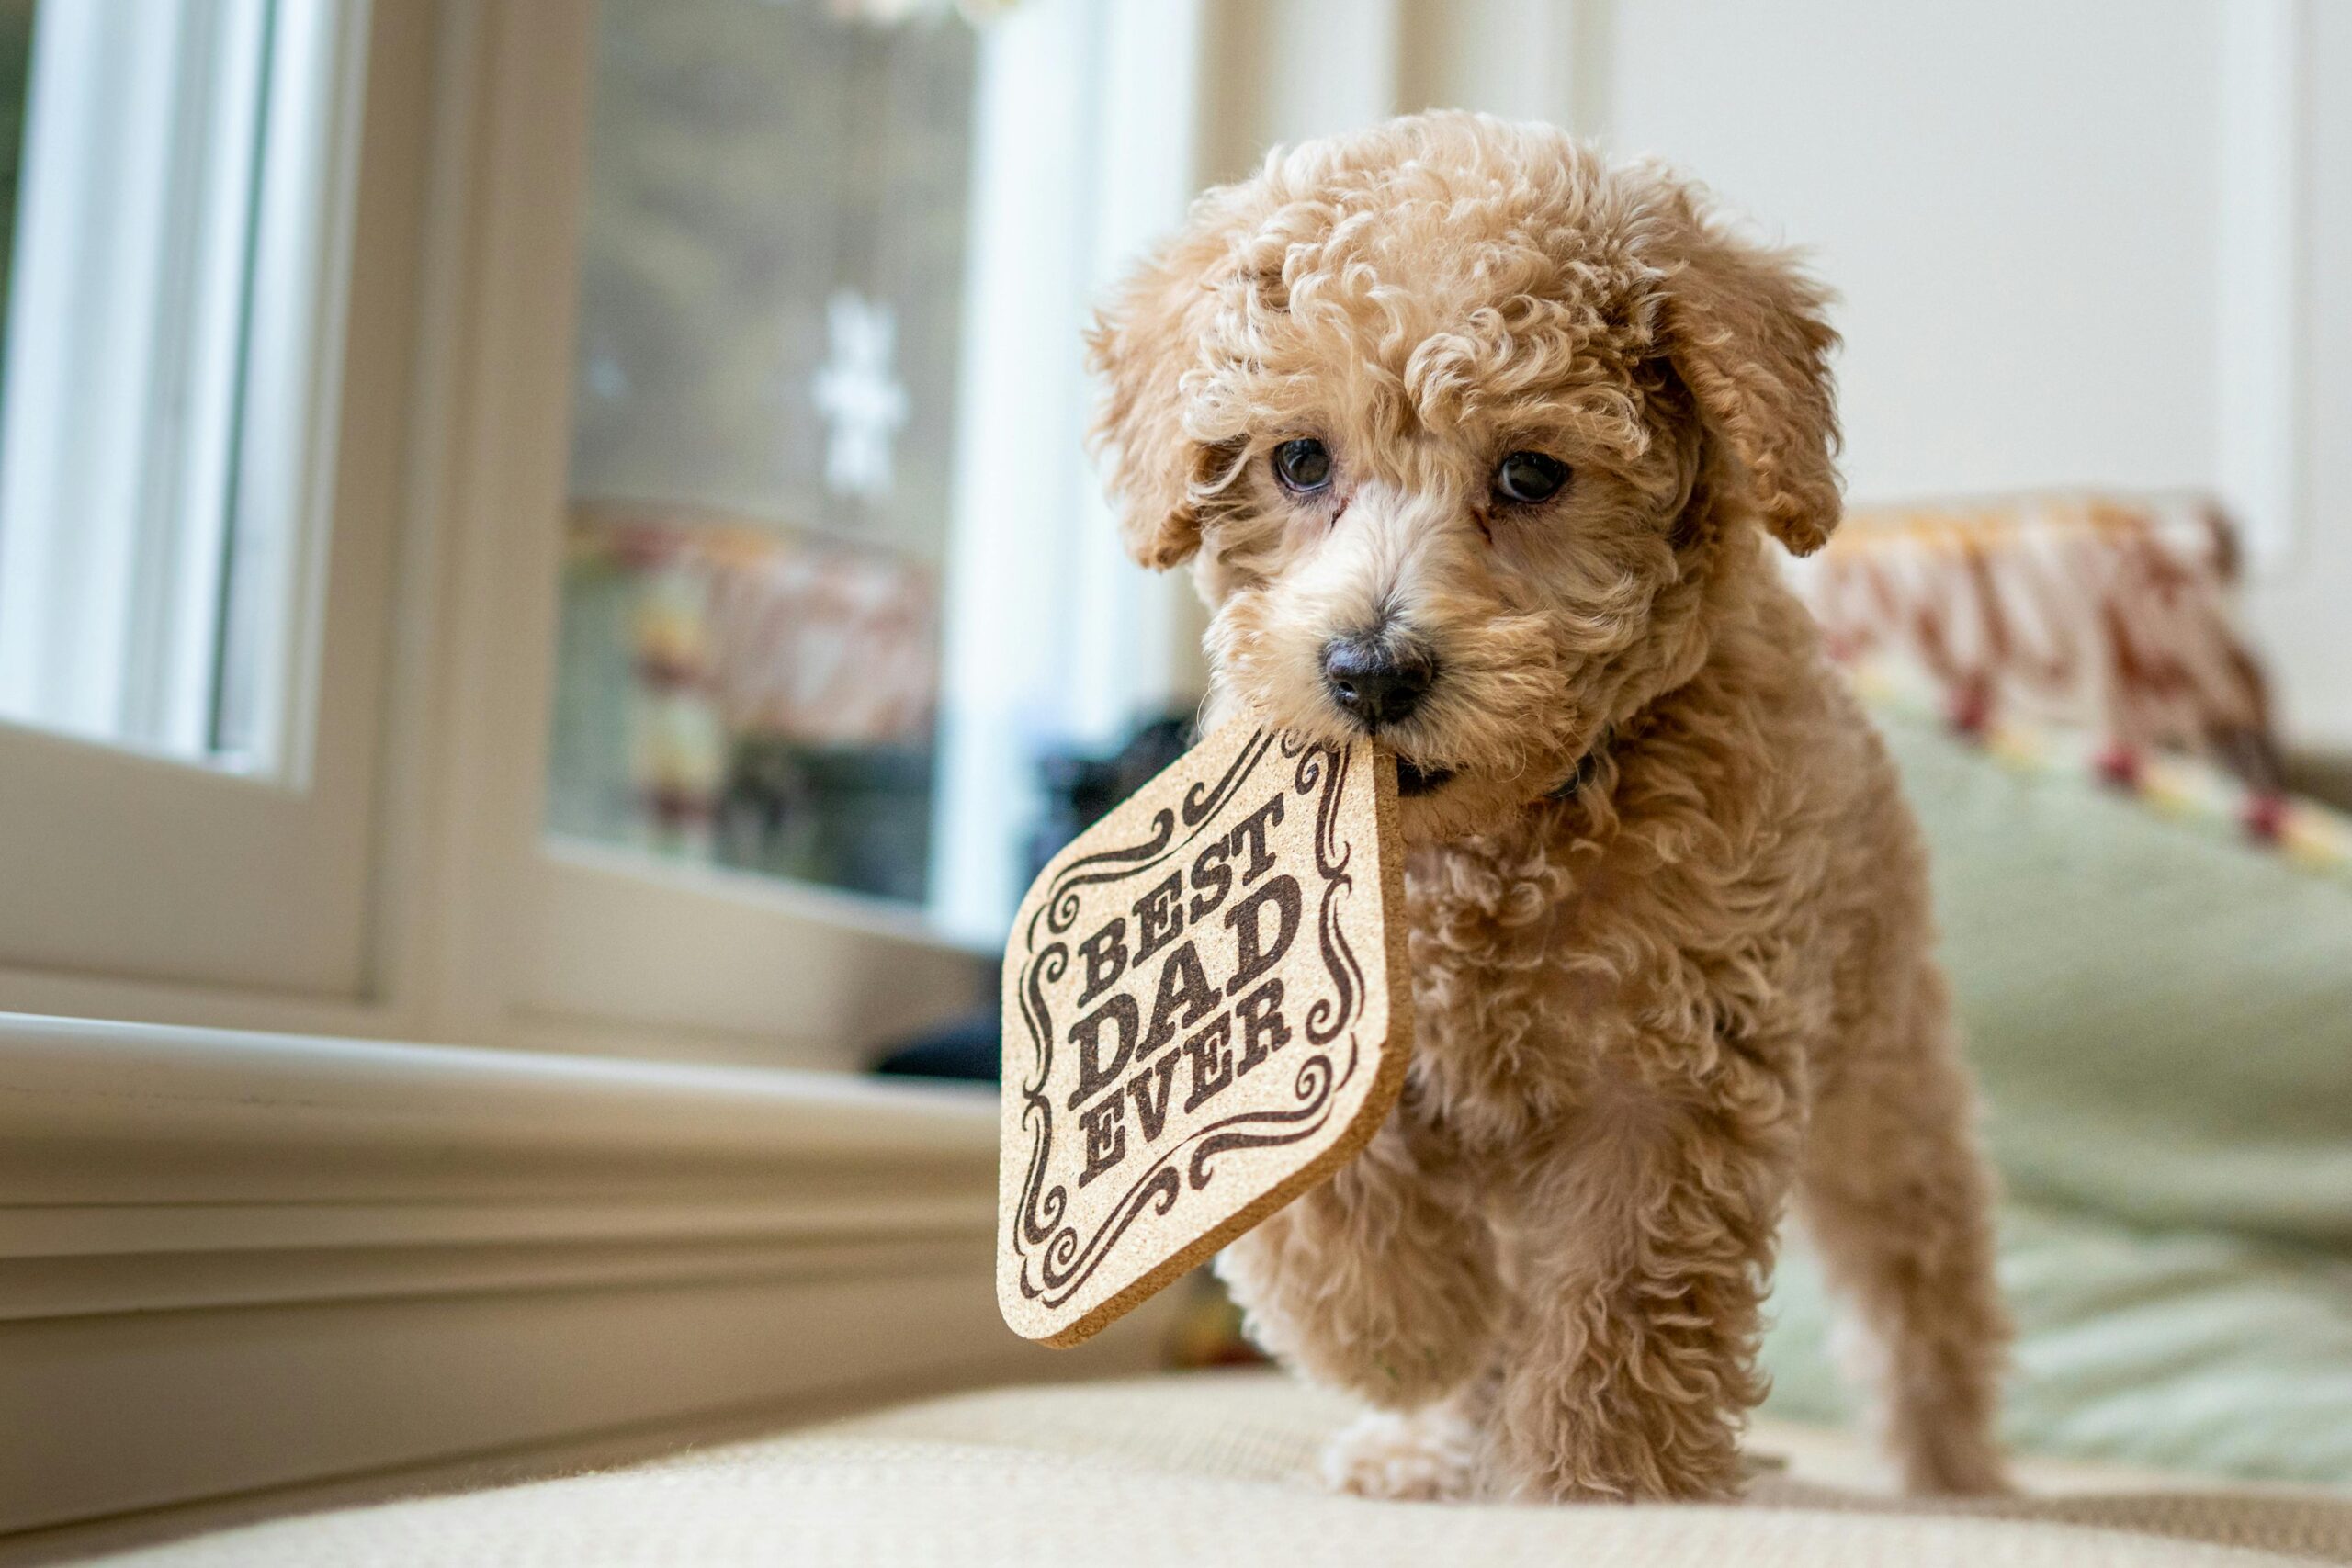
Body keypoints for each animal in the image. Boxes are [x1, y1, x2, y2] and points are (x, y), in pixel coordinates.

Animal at [1091, 116, 2013, 1504]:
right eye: (1300, 460)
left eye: (1531, 473)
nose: (1369, 672)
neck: (1494, 842)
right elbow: (1327, 1187)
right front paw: (1409, 1329)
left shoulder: (1673, 1077)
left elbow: (1618, 1306)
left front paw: (1595, 1484)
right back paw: (1433, 1436)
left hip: (1882, 1076)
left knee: (1922, 1283)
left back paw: (1952, 1472)